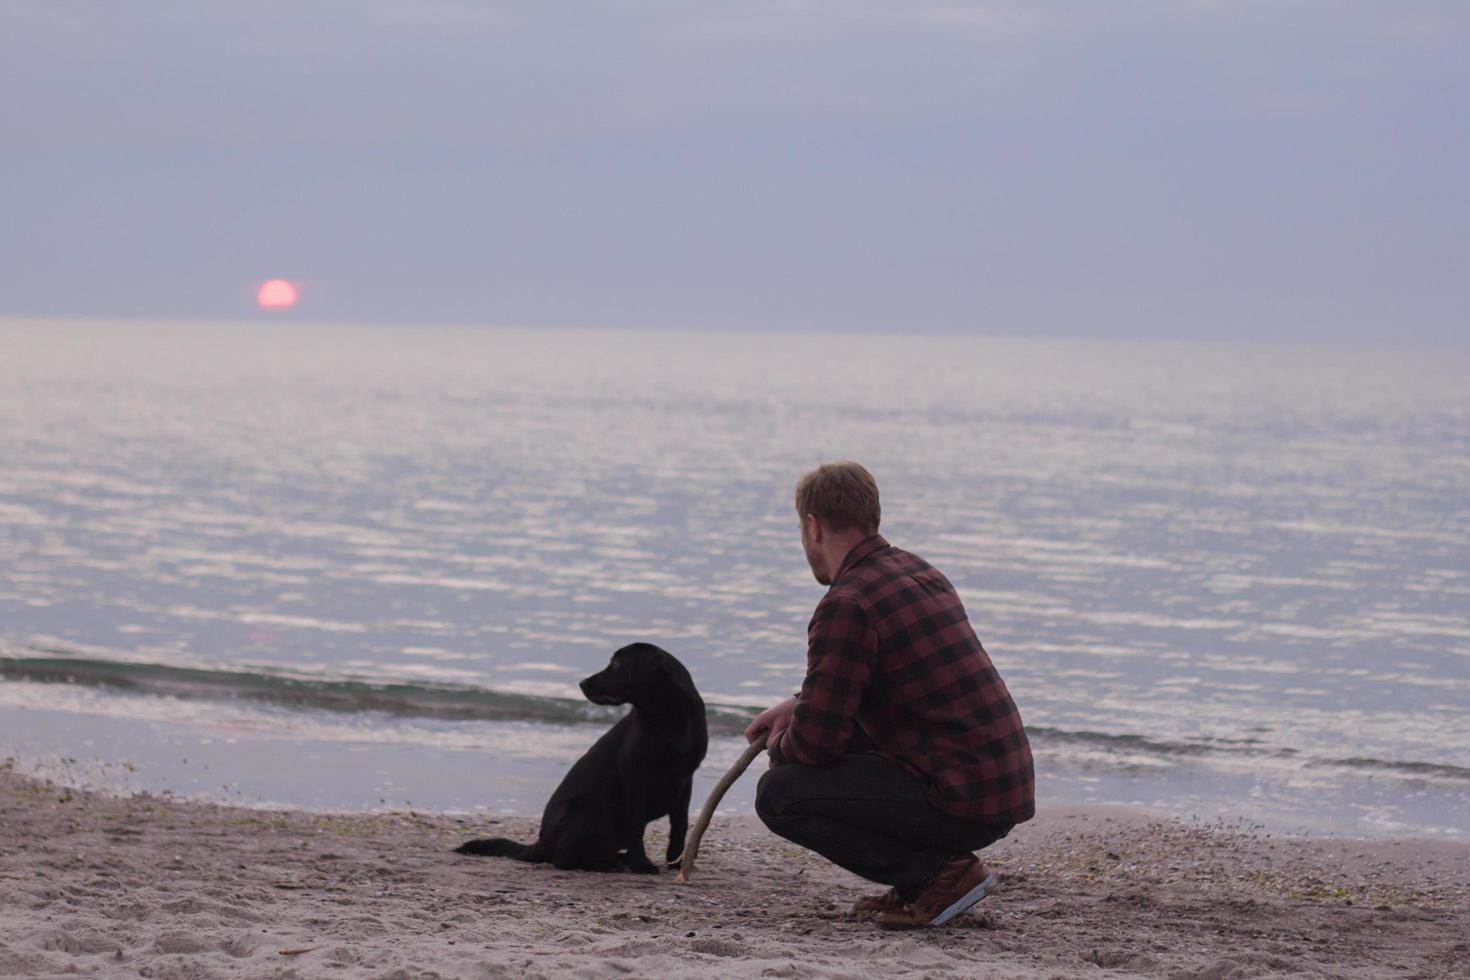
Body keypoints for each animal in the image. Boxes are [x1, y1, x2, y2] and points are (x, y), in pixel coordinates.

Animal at [458, 643, 711, 875]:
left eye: (616, 664)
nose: (582, 683)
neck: (670, 714)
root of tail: (541, 843)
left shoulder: (685, 777)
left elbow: (680, 824)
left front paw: (677, 863)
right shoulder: (636, 776)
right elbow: (637, 825)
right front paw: (642, 865)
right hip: (589, 805)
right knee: (563, 858)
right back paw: (611, 864)